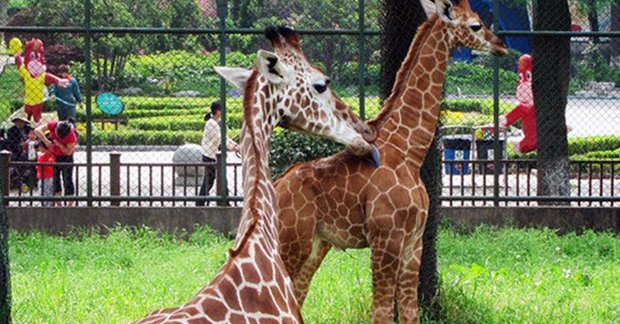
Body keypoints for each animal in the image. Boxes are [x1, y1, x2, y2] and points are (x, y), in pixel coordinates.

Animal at [274, 1, 506, 322]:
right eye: (475, 25)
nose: (501, 45)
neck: (409, 151)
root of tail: (273, 188)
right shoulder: (387, 240)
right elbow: (382, 311)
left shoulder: (413, 243)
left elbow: (410, 312)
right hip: (294, 241)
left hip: (316, 244)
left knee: (294, 298)